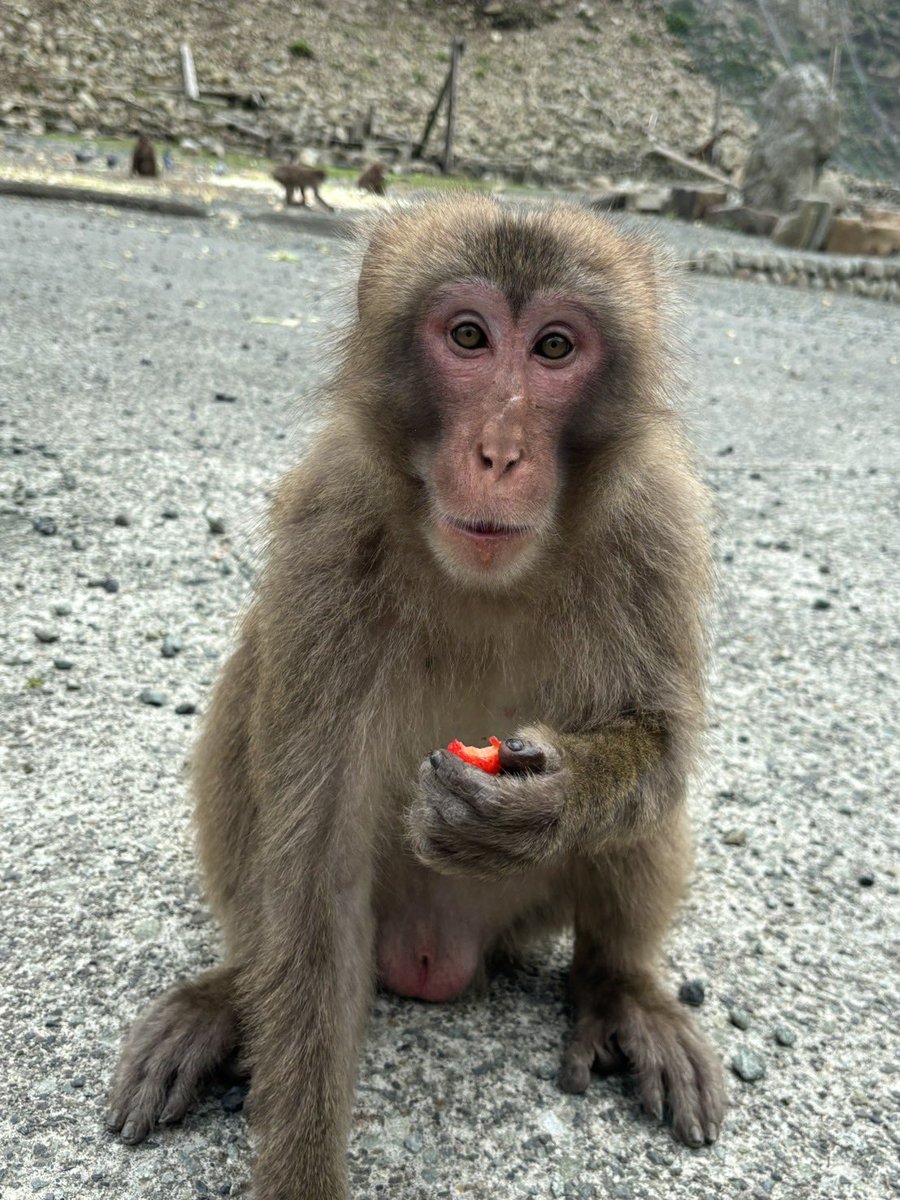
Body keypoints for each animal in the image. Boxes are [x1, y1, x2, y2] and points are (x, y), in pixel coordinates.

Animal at [107, 196, 726, 1199]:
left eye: (555, 347)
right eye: (469, 337)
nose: (500, 452)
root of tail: (436, 953)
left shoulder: (658, 524)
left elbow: (661, 746)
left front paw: (544, 800)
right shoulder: (328, 525)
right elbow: (312, 868)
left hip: (523, 917)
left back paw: (618, 987)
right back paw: (231, 995)